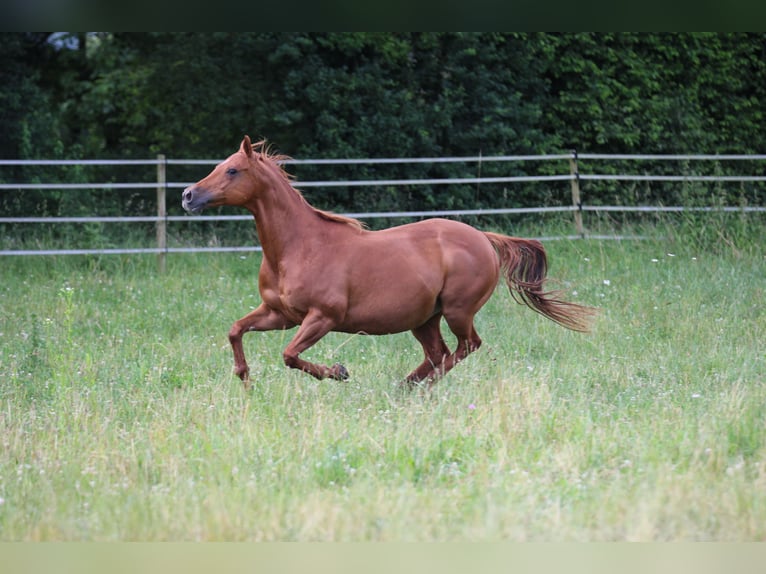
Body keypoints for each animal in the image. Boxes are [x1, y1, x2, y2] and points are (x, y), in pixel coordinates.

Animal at [182, 136, 595, 390]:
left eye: (232, 170)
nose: (188, 195)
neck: (297, 247)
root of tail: (483, 237)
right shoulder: (279, 314)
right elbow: (236, 330)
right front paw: (244, 377)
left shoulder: (322, 317)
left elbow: (289, 355)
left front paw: (338, 372)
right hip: (424, 318)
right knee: (438, 354)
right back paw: (405, 387)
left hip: (458, 311)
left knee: (465, 347)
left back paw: (418, 389)